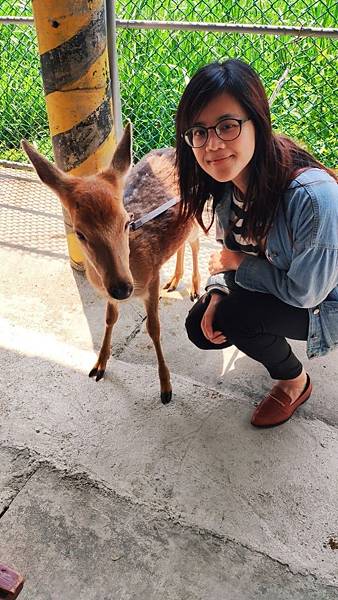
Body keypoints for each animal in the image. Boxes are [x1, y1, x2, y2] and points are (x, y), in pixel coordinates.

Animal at [23, 122, 201, 404]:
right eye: (80, 233)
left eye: (126, 221)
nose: (122, 288)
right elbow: (110, 319)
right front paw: (99, 366)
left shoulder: (151, 277)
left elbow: (153, 328)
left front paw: (166, 388)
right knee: (181, 243)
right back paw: (174, 280)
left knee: (195, 242)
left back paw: (194, 287)